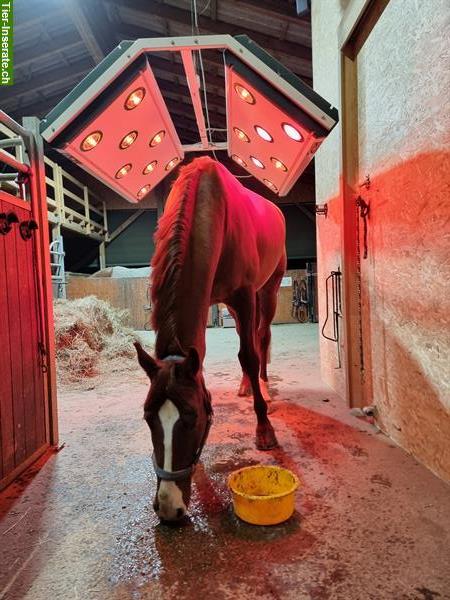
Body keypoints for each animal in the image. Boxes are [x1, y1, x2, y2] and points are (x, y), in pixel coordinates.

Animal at [134, 156, 286, 520]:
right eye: (147, 417)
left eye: (191, 417)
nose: (168, 507)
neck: (215, 213)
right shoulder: (212, 302)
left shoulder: (244, 295)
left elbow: (249, 355)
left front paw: (264, 429)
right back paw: (247, 386)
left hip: (268, 289)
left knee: (261, 337)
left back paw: (263, 386)